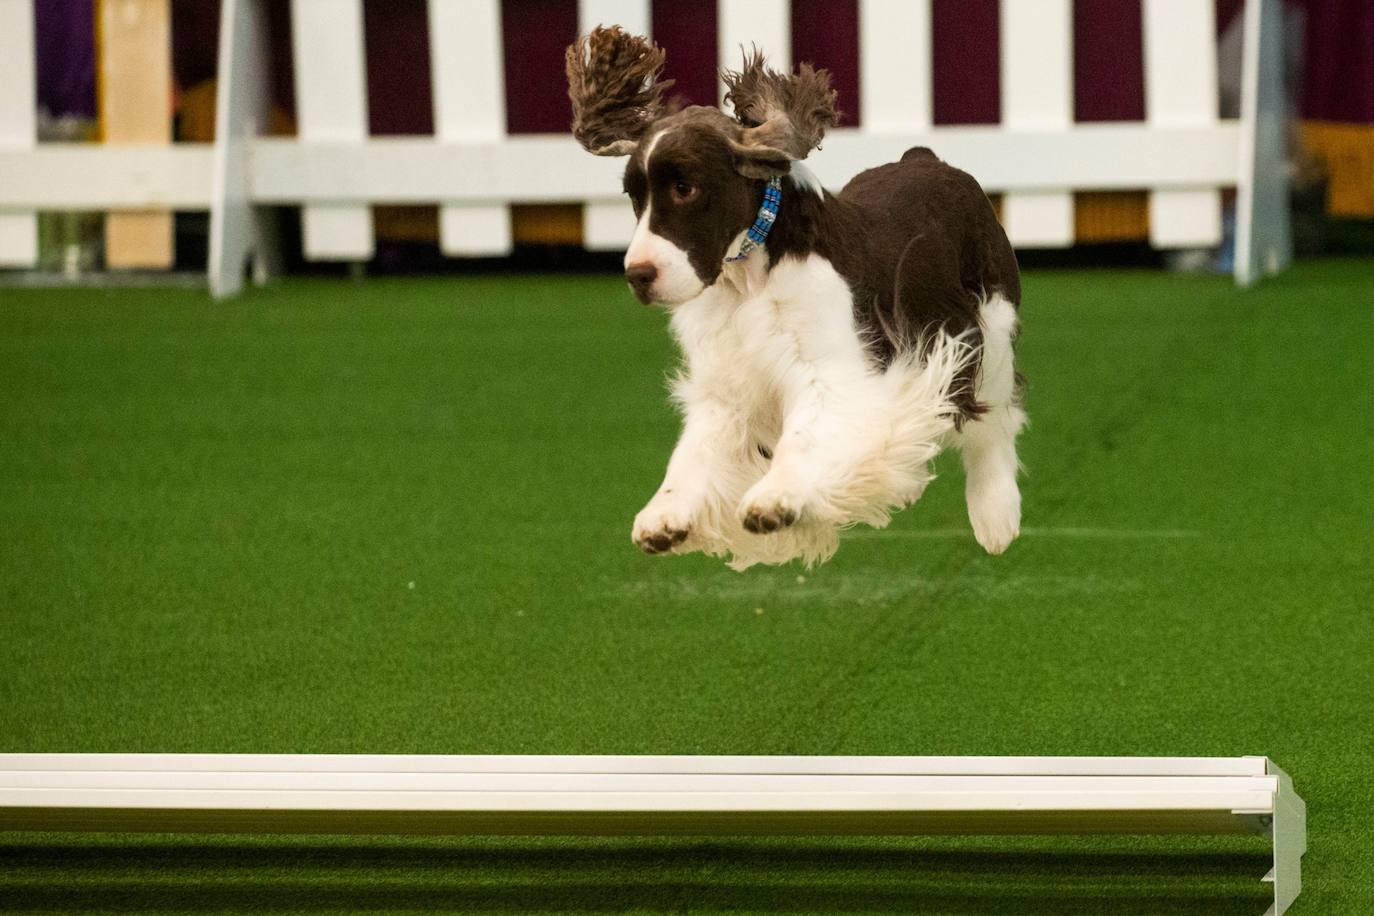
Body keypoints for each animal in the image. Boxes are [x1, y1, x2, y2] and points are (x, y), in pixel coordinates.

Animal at [563, 28, 1027, 568]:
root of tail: (925, 157)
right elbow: (695, 449)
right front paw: (664, 516)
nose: (638, 274)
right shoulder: (728, 381)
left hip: (990, 322)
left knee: (993, 420)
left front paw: (775, 498)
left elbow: (806, 434)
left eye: (684, 188)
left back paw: (996, 516)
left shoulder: (835, 367)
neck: (748, 280)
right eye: (635, 197)